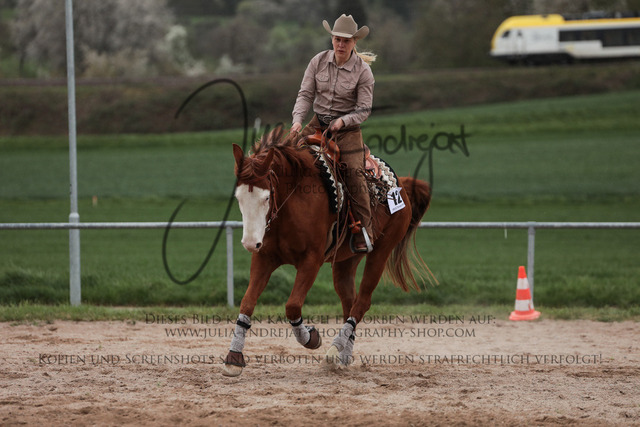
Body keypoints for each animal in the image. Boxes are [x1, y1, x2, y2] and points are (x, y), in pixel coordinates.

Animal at [222, 127, 432, 377]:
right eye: (239, 197)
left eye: (266, 197)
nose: (249, 243)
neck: (293, 201)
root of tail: (400, 185)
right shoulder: (264, 258)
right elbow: (247, 302)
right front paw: (234, 358)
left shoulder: (311, 261)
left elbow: (292, 306)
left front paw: (311, 338)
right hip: (346, 261)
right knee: (349, 301)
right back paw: (343, 355)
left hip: (381, 252)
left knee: (362, 302)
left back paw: (333, 351)